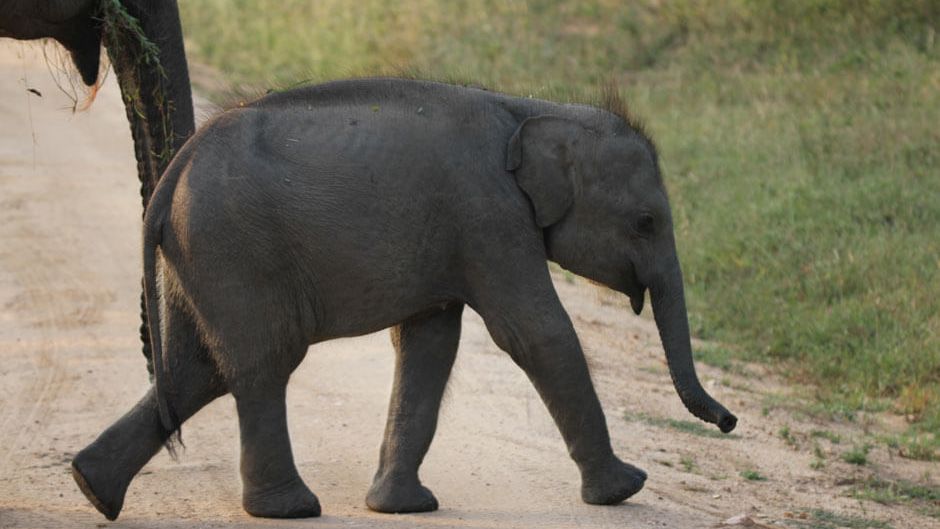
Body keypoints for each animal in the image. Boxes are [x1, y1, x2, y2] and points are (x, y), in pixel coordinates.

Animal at [70, 77, 738, 520]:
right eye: (646, 223)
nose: (729, 422)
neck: (534, 109)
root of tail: (171, 175)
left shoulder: (461, 233)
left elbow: (429, 345)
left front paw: (402, 507)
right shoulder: (489, 214)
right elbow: (535, 332)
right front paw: (625, 490)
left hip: (202, 255)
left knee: (197, 371)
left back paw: (91, 488)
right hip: (234, 246)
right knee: (262, 365)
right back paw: (290, 510)